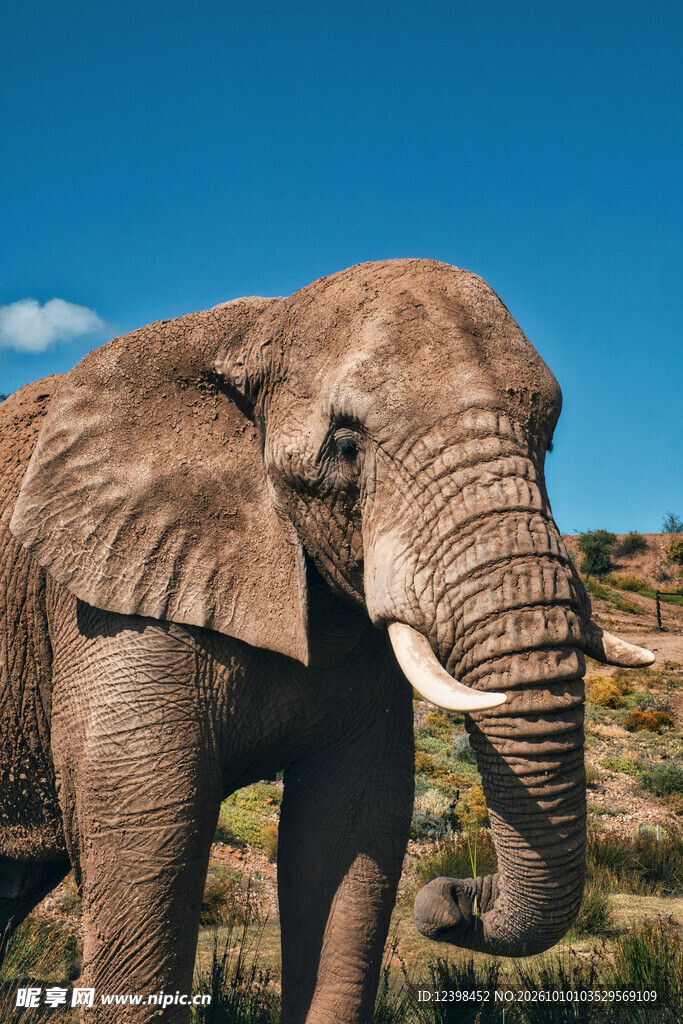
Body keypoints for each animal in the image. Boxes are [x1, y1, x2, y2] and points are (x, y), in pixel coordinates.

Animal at [0, 259, 654, 1022]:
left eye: (545, 442)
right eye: (345, 448)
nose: (452, 898)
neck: (255, 328)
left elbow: (349, 828)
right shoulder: (113, 587)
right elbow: (146, 832)